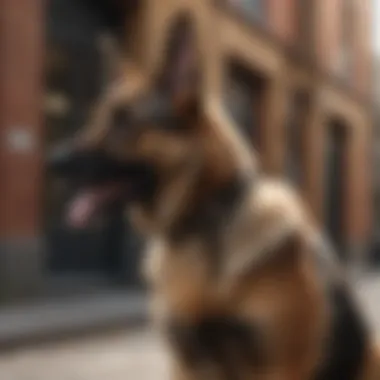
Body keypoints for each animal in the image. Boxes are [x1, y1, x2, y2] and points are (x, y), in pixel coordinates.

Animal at [49, 26, 378, 380]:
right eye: (98, 118)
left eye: (123, 121)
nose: (53, 161)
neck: (201, 224)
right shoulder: (186, 361)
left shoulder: (279, 366)